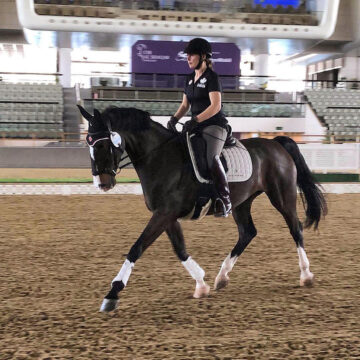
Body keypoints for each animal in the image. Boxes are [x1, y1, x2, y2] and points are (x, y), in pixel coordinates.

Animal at [77, 105, 328, 312]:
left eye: (102, 144)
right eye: (88, 143)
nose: (102, 183)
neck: (159, 157)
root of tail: (275, 142)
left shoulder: (164, 213)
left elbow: (136, 248)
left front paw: (112, 294)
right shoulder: (166, 215)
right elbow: (180, 249)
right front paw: (201, 284)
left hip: (282, 196)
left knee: (295, 228)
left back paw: (306, 275)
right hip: (242, 202)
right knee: (248, 232)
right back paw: (222, 277)